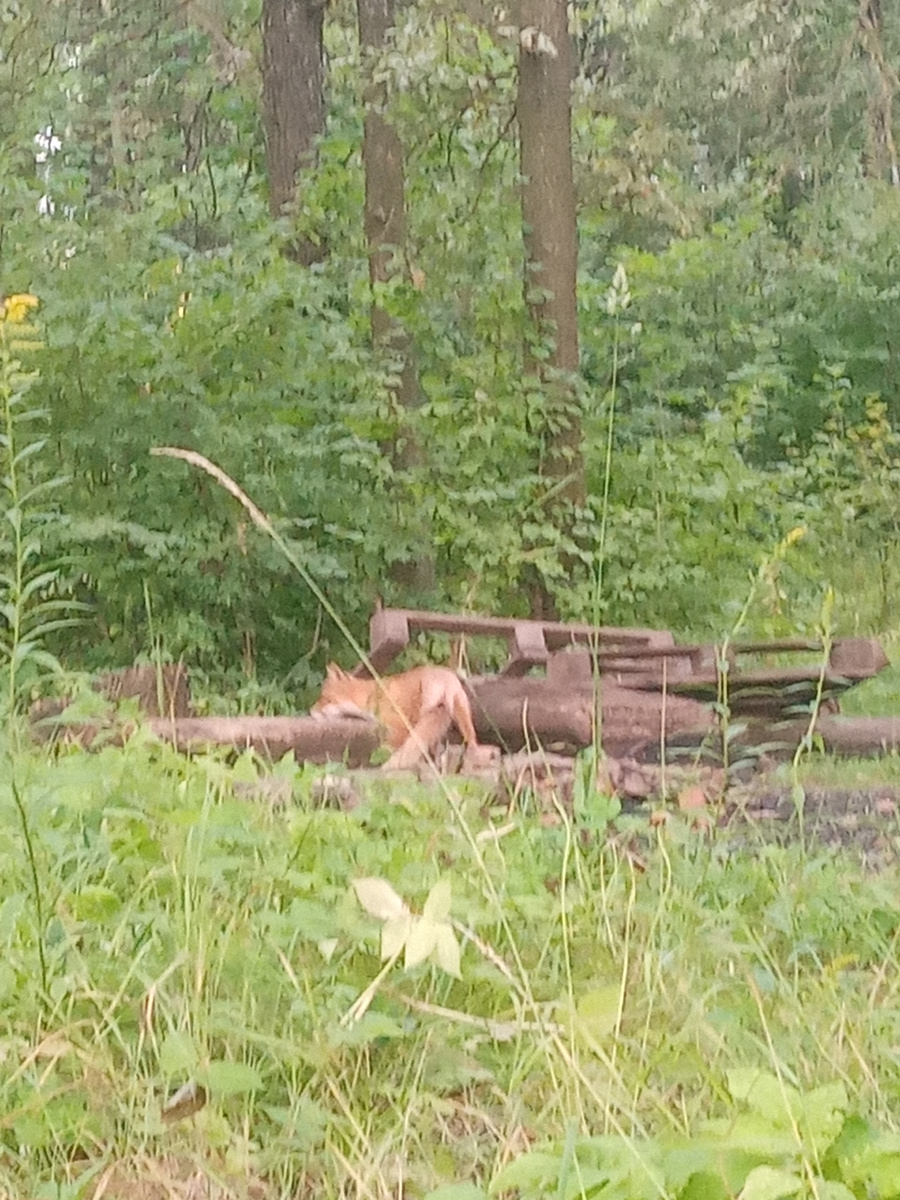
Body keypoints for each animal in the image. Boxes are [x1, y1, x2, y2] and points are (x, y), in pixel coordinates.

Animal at [310, 663, 480, 768]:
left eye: (325, 698)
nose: (310, 711)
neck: (371, 697)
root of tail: (446, 675)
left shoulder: (398, 727)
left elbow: (389, 750)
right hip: (461, 716)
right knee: (470, 740)